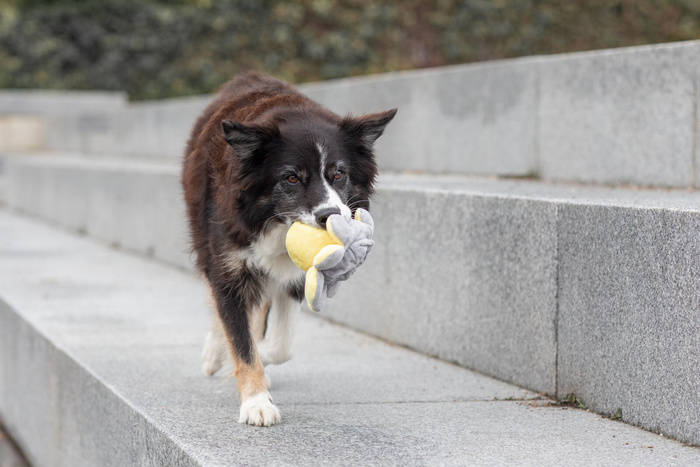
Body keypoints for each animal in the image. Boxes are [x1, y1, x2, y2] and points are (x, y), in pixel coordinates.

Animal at [180, 73, 396, 428]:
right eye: (291, 178)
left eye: (339, 173)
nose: (330, 216)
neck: (275, 223)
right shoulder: (228, 264)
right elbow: (240, 337)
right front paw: (256, 402)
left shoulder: (295, 274)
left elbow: (281, 345)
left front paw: (263, 358)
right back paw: (214, 355)